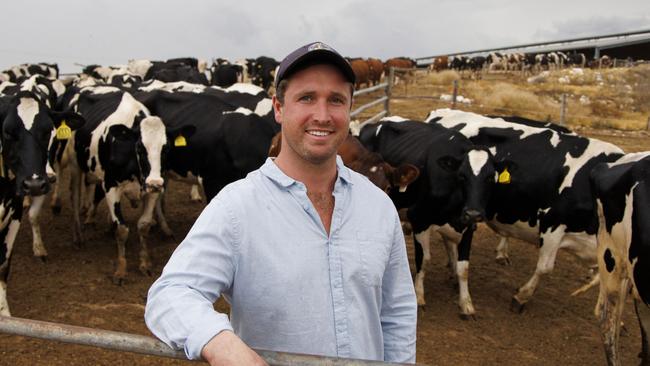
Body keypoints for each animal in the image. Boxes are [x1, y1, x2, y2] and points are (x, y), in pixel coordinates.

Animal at [356, 116, 494, 316]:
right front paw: (419, 296)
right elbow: (424, 259)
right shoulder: (419, 219)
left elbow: (464, 268)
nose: (474, 213)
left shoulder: (468, 226)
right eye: (462, 176)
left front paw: (466, 303)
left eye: (491, 177)